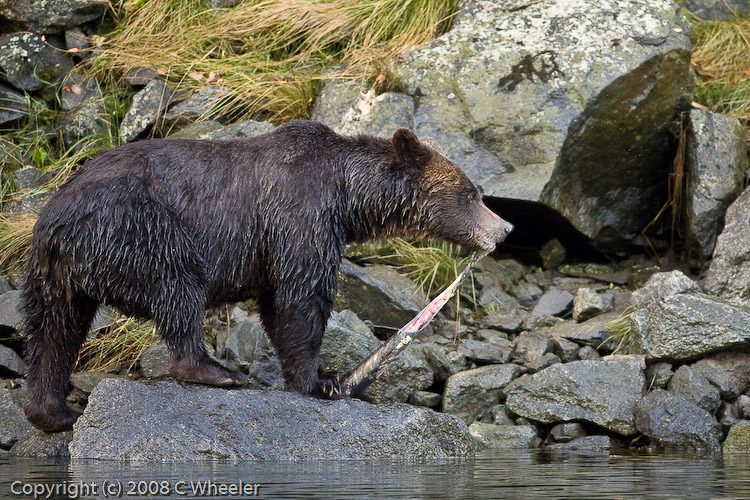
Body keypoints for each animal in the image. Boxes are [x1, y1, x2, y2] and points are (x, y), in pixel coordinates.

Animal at [22, 119, 516, 432]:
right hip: (138, 229)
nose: (506, 228)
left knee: (53, 331)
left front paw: (316, 377)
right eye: (471, 193)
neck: (348, 196)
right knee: (177, 288)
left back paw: (54, 411)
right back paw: (216, 371)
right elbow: (301, 297)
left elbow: (278, 305)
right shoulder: (300, 215)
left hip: (54, 272)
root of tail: (57, 222)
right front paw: (321, 381)